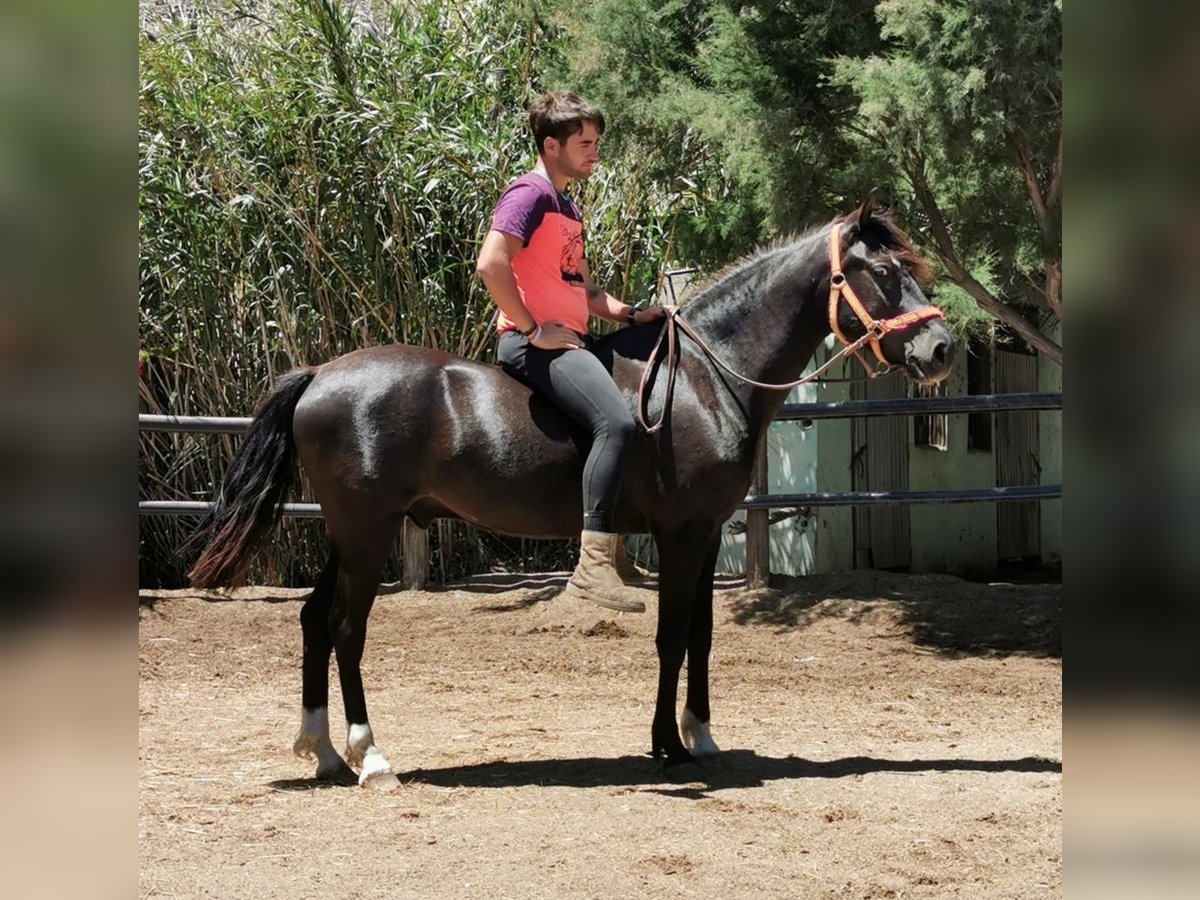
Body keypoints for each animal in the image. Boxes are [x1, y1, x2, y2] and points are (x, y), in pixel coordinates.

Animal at [189, 199, 955, 787]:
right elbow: (671, 636)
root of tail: (319, 376)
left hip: (348, 536)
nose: (941, 349)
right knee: (347, 629)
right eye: (886, 273)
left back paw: (322, 750)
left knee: (314, 620)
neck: (703, 377)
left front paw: (701, 734)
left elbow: (702, 636)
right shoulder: (680, 536)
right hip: (367, 534)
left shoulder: (708, 534)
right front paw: (668, 746)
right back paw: (370, 756)